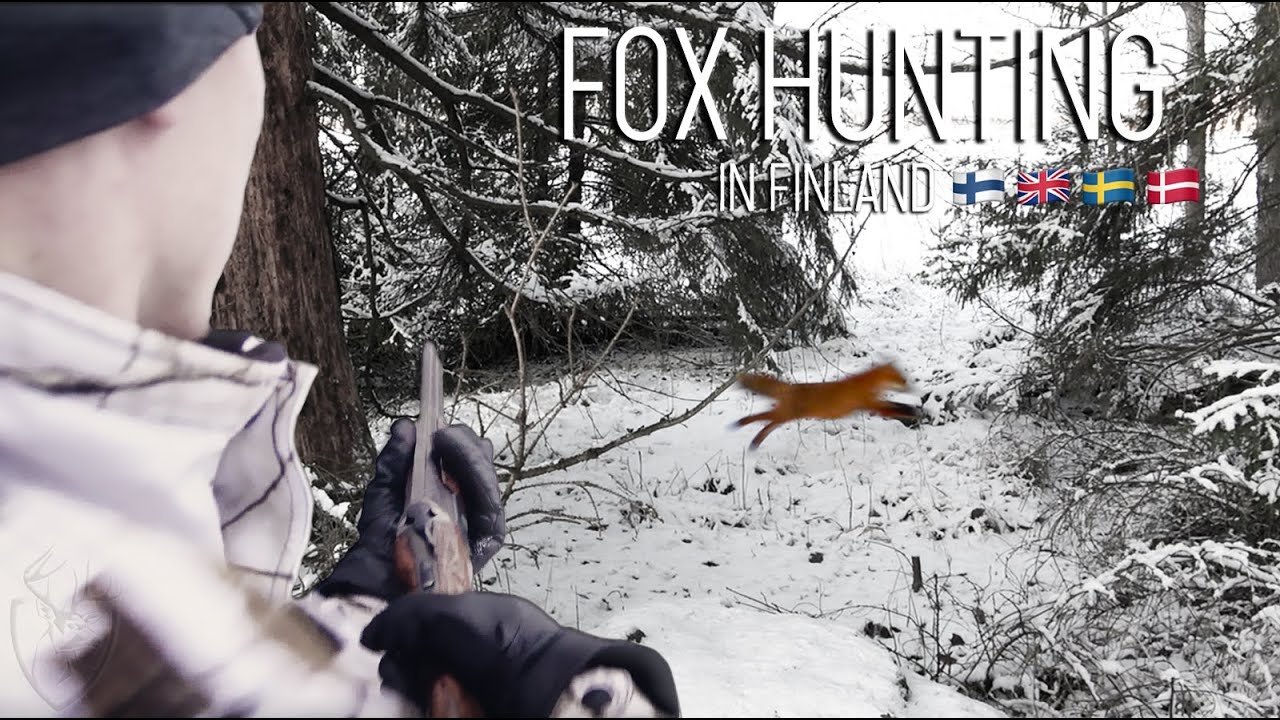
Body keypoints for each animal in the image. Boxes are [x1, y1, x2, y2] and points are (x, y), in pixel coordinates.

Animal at [733, 362, 920, 449]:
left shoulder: (875, 405)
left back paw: (753, 443)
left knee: (765, 426)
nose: (912, 387)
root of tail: (792, 387)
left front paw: (915, 410)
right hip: (784, 414)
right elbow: (897, 409)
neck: (866, 384)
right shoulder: (873, 406)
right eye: (901, 379)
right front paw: (915, 412)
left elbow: (897, 407)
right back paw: (738, 424)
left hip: (783, 417)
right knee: (759, 418)